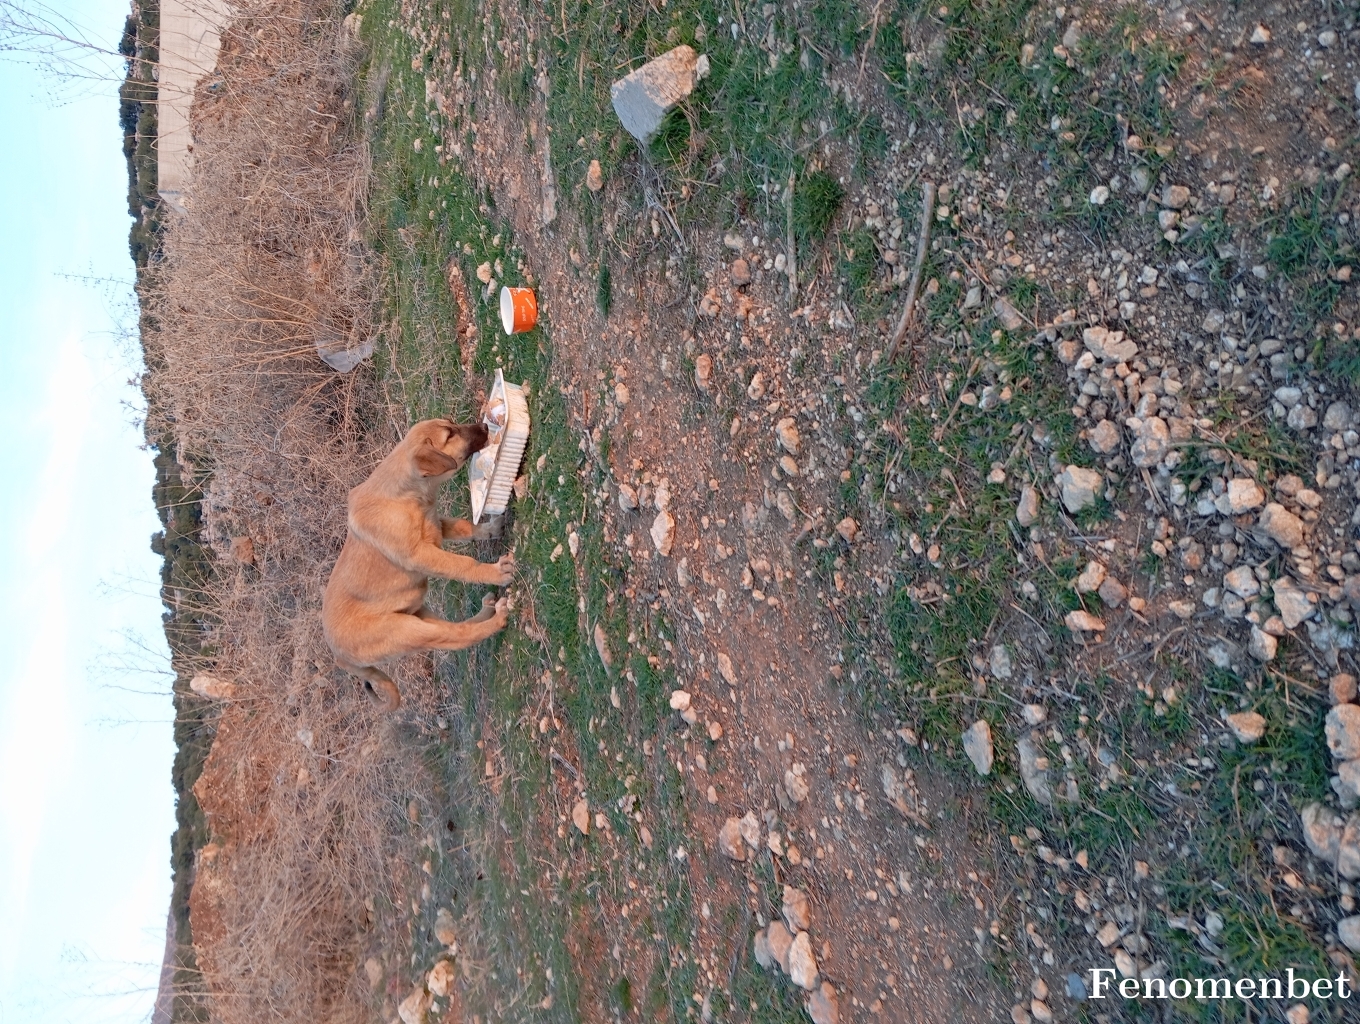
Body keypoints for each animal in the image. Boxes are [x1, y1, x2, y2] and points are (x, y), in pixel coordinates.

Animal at [323, 418, 514, 707]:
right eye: (450, 435)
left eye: (451, 424)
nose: (484, 425)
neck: (405, 497)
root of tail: (340, 658)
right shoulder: (422, 555)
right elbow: (463, 564)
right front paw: (495, 572)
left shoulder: (437, 525)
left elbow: (466, 527)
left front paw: (491, 529)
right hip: (406, 630)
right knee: (458, 637)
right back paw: (497, 619)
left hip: (417, 613)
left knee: (455, 627)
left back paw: (487, 610)